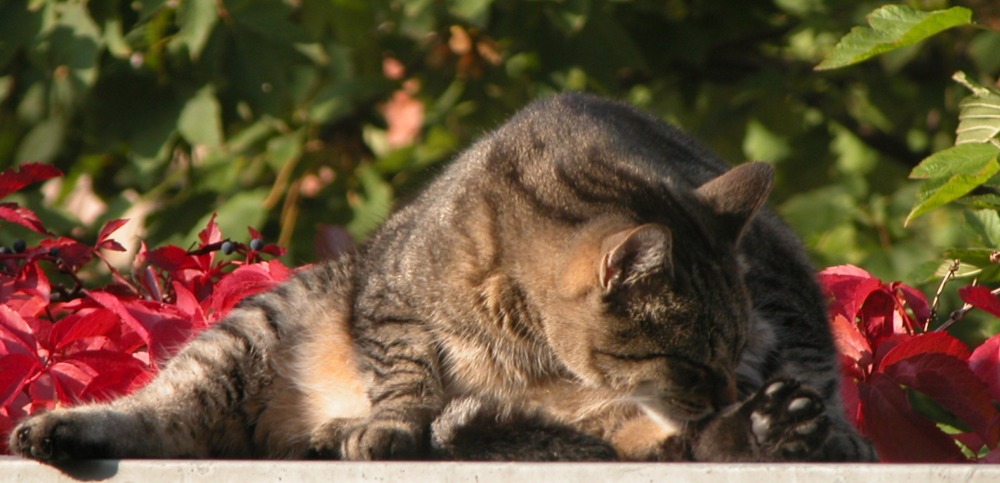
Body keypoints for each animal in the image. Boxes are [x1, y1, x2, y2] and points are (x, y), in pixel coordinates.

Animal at [7, 91, 876, 466]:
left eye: (733, 352)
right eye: (693, 359)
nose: (730, 390)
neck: (536, 350)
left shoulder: (783, 289)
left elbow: (793, 373)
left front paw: (798, 426)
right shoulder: (389, 299)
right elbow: (406, 370)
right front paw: (395, 420)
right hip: (256, 326)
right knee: (168, 411)